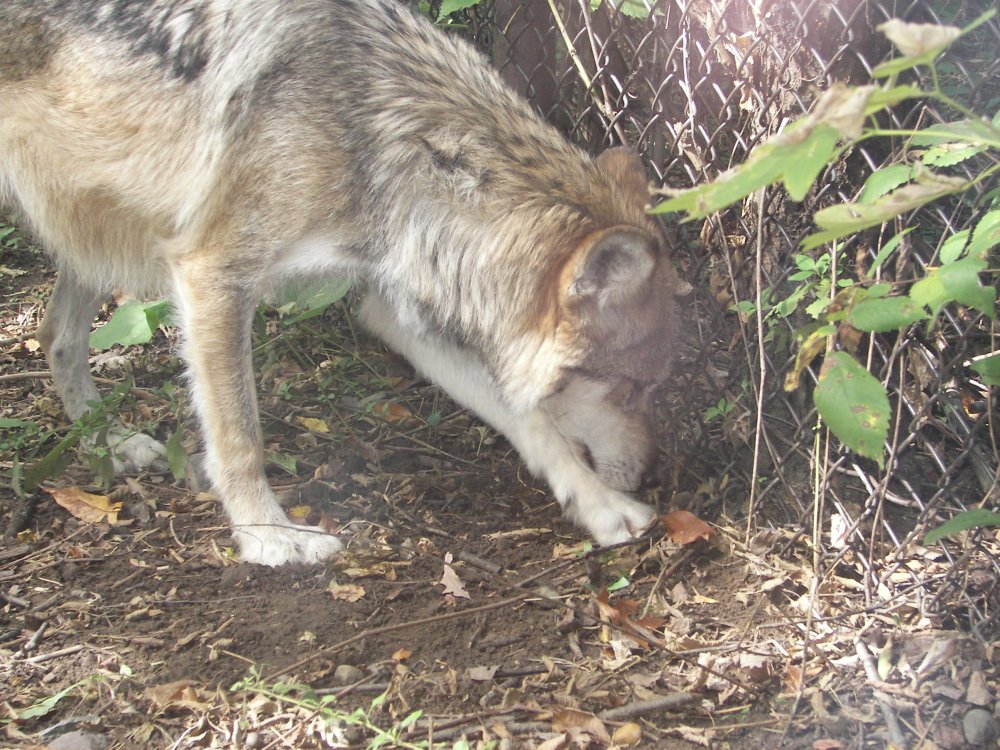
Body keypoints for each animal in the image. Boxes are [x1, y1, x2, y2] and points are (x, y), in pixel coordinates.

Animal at [0, 0, 684, 564]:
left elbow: (536, 426)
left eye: (650, 388)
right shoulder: (213, 275)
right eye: (630, 389)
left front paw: (601, 506)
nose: (654, 472)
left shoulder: (389, 304)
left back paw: (110, 446)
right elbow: (240, 434)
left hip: (91, 232)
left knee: (57, 335)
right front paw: (269, 536)